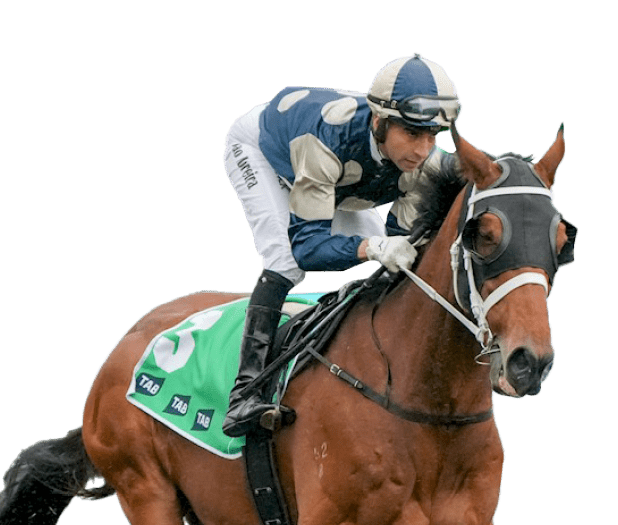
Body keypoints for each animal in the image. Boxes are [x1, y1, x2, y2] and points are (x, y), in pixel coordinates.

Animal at [2, 124, 576, 524]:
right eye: (484, 235)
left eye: (561, 241)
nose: (529, 362)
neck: (426, 406)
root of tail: (121, 350)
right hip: (145, 489)